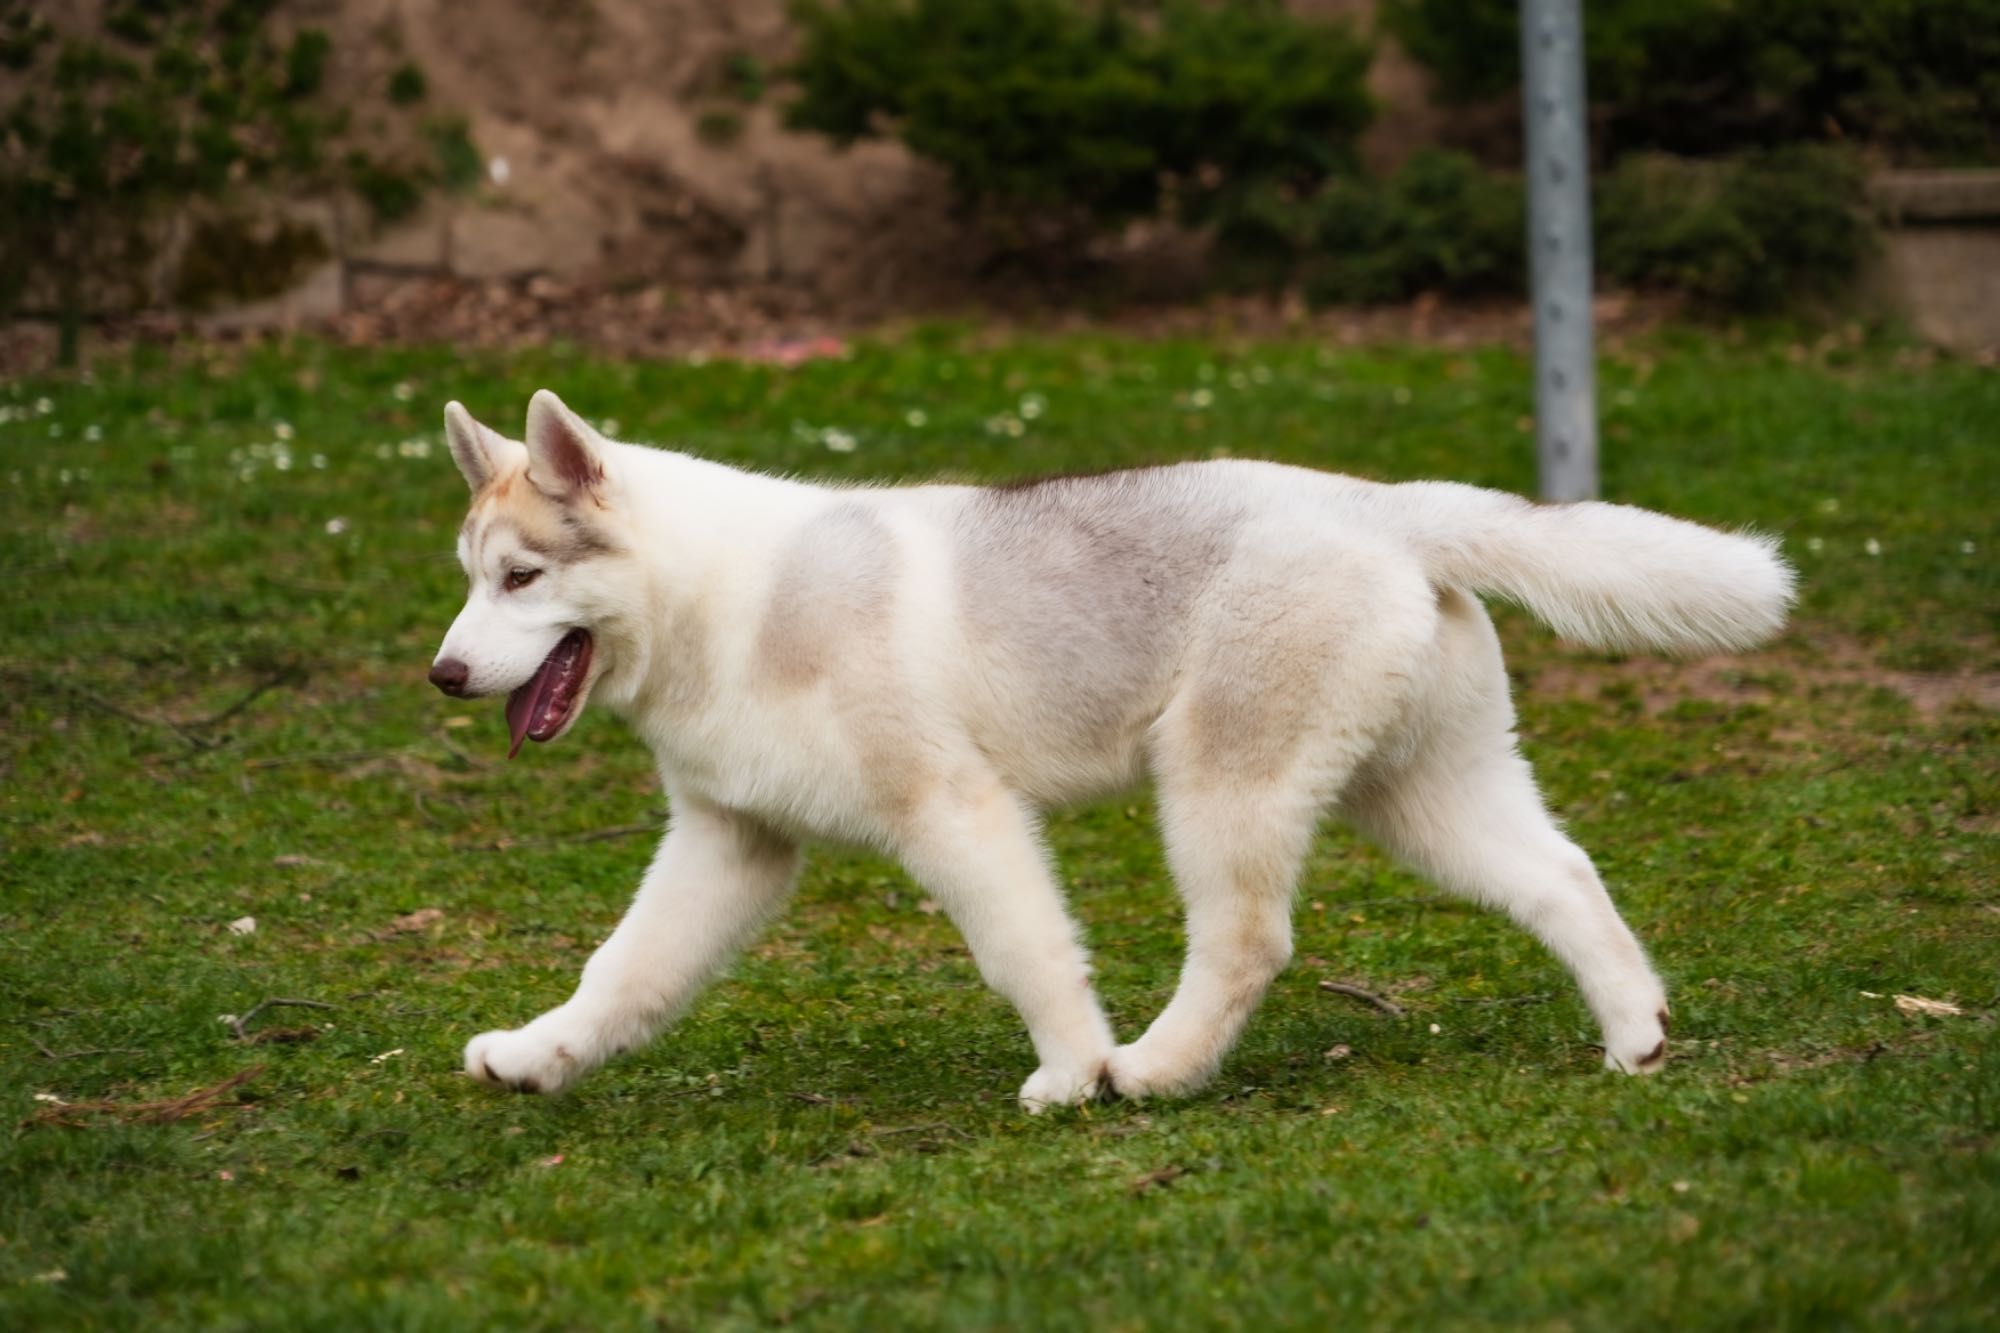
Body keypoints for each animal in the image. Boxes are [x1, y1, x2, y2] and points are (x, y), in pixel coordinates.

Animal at [430, 390, 1792, 1104]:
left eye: (519, 578)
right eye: (468, 578)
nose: (442, 674)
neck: (723, 597)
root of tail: (1380, 503)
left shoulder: (956, 812)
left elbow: (1025, 953)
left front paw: (1071, 1070)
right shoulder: (729, 845)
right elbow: (624, 970)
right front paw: (540, 1054)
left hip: (1220, 787)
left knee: (1247, 940)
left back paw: (1155, 1067)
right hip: (1424, 796)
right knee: (1561, 875)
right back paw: (1633, 1034)